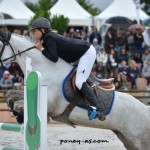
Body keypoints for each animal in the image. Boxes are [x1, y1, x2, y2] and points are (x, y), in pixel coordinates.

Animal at [0, 29, 150, 150]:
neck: (46, 67)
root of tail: (145, 109)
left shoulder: (49, 103)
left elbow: (20, 103)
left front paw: (18, 114)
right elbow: (12, 94)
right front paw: (15, 110)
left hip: (140, 141)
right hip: (128, 139)